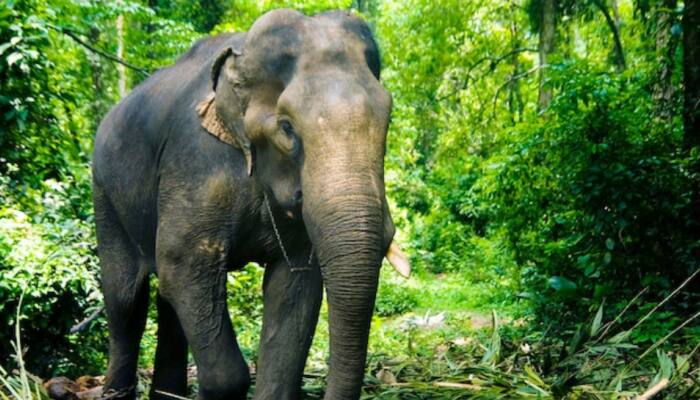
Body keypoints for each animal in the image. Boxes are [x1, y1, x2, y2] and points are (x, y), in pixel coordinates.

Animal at [91, 8, 410, 400]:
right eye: (287, 127)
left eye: (388, 120)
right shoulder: (197, 162)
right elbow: (183, 262)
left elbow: (294, 288)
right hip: (104, 193)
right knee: (126, 300)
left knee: (166, 299)